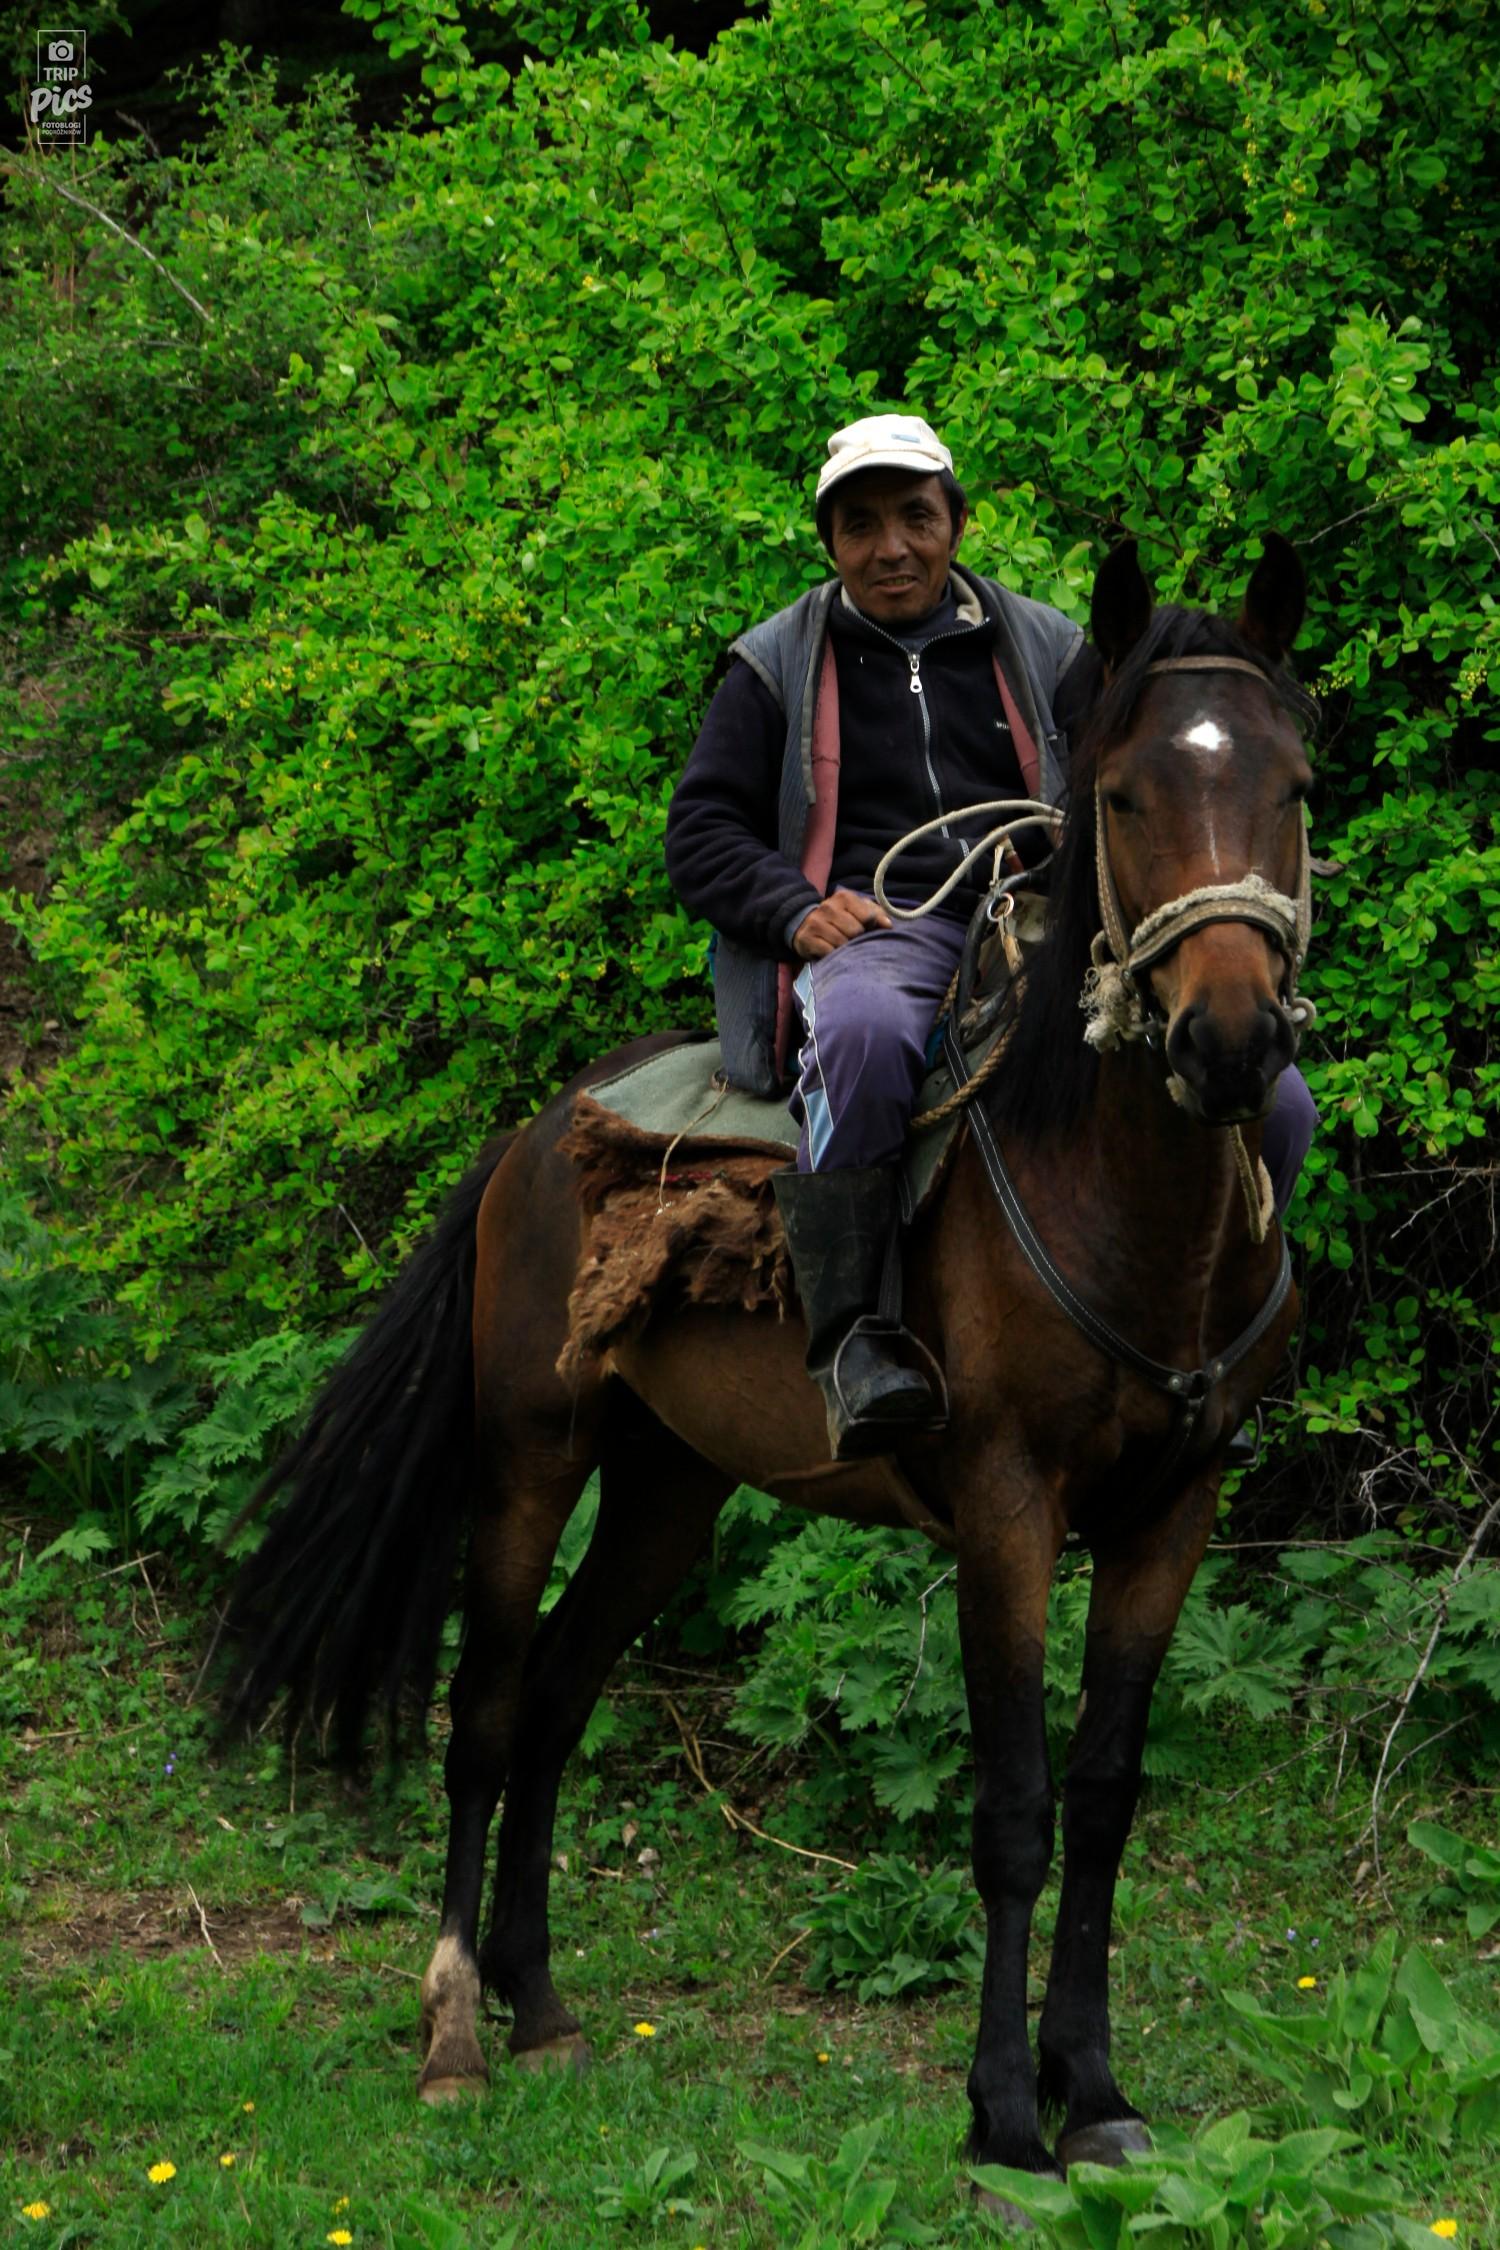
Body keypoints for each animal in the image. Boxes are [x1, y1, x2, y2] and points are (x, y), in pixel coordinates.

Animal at [221, 534, 1316, 2197]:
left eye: (1295, 785)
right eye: (1126, 794)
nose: (1231, 1042)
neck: (1109, 1192)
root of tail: (531, 1139)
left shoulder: (1169, 1513)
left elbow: (1107, 1792)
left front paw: (1099, 2091)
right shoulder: (1006, 1510)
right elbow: (1015, 1803)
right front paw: (1007, 2116)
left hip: (670, 1487)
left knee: (558, 1694)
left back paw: (543, 2009)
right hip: (532, 1458)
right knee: (487, 1710)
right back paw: (458, 2034)